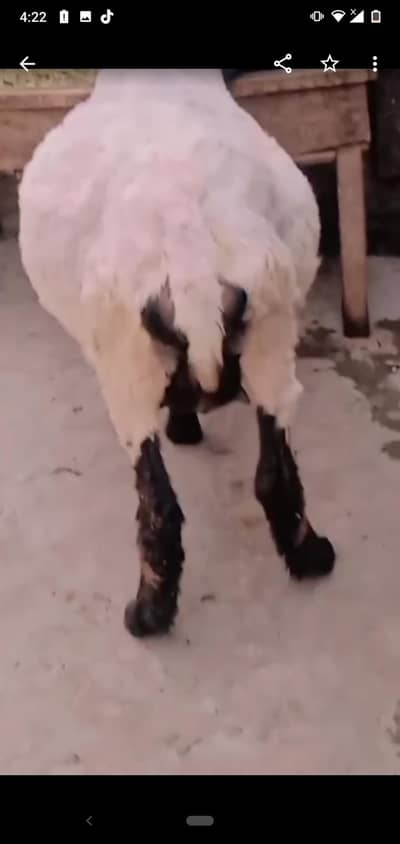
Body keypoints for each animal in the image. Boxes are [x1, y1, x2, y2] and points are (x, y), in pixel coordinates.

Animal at [18, 69, 335, 638]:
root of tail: (192, 265)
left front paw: (185, 427)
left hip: (128, 369)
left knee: (159, 508)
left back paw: (147, 613)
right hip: (272, 339)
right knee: (273, 475)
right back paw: (310, 559)